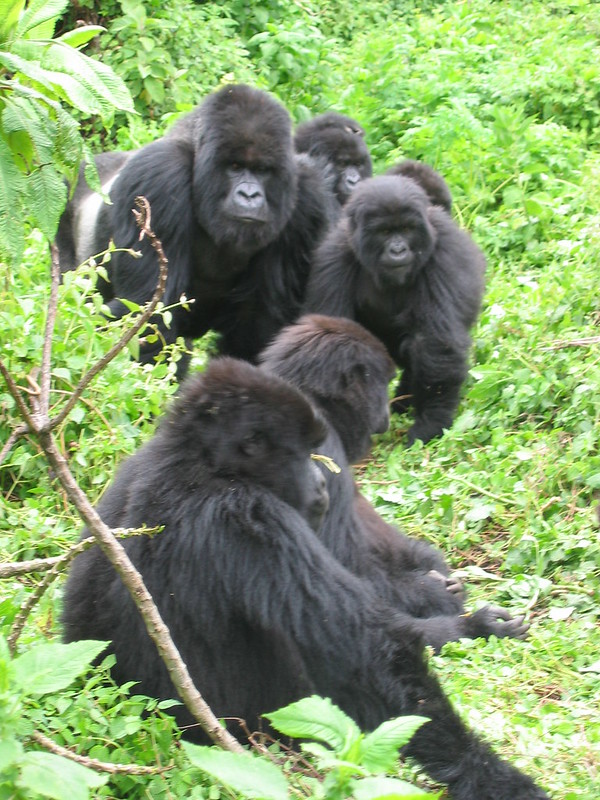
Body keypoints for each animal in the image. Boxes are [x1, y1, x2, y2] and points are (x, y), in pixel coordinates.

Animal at [55, 86, 338, 374]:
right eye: (235, 167)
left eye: (262, 170)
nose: (250, 195)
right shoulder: (159, 176)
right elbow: (151, 316)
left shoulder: (308, 199)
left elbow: (260, 328)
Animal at [62, 358, 548, 800]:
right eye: (302, 453)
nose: (320, 482)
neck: (202, 462)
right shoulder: (251, 516)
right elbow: (371, 655)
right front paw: (493, 775)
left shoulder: (129, 473)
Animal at [304, 174, 488, 444]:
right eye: (385, 232)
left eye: (407, 229)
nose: (398, 250)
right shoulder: (334, 256)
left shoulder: (444, 253)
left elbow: (436, 343)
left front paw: (431, 423)